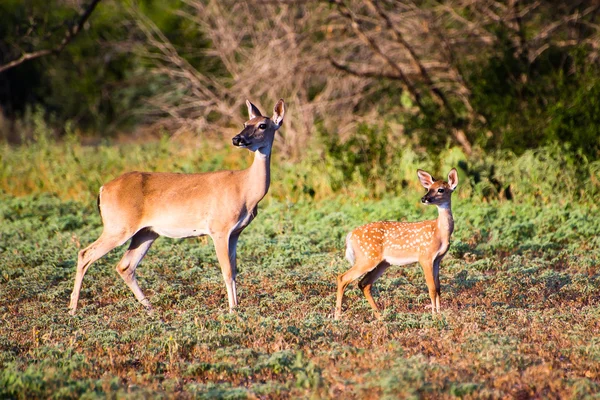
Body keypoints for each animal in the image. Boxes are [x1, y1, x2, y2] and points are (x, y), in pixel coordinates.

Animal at [69, 98, 284, 314]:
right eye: (245, 123)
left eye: (262, 125)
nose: (237, 139)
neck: (245, 189)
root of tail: (103, 189)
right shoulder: (219, 229)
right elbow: (227, 271)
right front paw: (233, 311)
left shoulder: (236, 232)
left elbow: (234, 270)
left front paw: (236, 308)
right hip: (119, 226)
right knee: (85, 254)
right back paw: (73, 309)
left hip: (146, 232)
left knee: (125, 265)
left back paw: (150, 308)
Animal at [336, 168, 458, 318]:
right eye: (428, 188)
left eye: (441, 189)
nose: (424, 199)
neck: (440, 233)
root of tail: (350, 236)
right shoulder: (425, 256)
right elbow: (432, 288)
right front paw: (434, 315)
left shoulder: (437, 259)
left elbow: (439, 288)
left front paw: (439, 314)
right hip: (367, 257)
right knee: (342, 278)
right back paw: (337, 317)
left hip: (382, 263)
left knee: (364, 284)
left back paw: (380, 317)